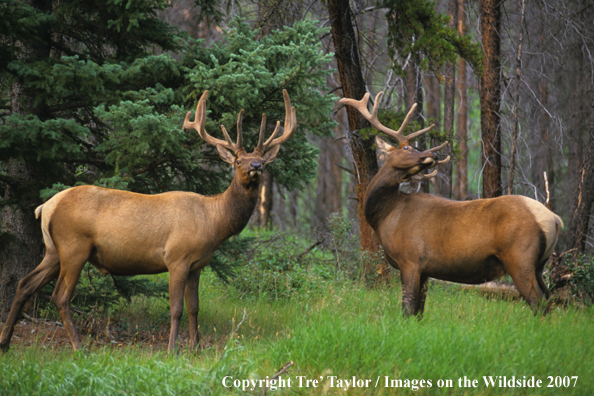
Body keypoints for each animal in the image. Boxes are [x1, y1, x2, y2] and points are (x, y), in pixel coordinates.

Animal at [0, 89, 296, 352]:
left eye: (262, 160)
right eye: (237, 161)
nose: (255, 167)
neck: (212, 222)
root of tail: (46, 206)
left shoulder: (197, 265)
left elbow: (195, 307)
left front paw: (197, 349)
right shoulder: (177, 258)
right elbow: (176, 309)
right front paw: (172, 350)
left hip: (53, 250)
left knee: (24, 284)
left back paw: (5, 342)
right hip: (74, 246)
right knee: (60, 296)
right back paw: (79, 347)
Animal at [338, 91, 560, 318]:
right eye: (407, 147)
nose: (434, 154)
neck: (385, 217)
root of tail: (554, 219)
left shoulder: (410, 259)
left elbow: (407, 308)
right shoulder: (425, 269)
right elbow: (418, 312)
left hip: (520, 258)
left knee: (538, 302)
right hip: (539, 265)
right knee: (550, 299)